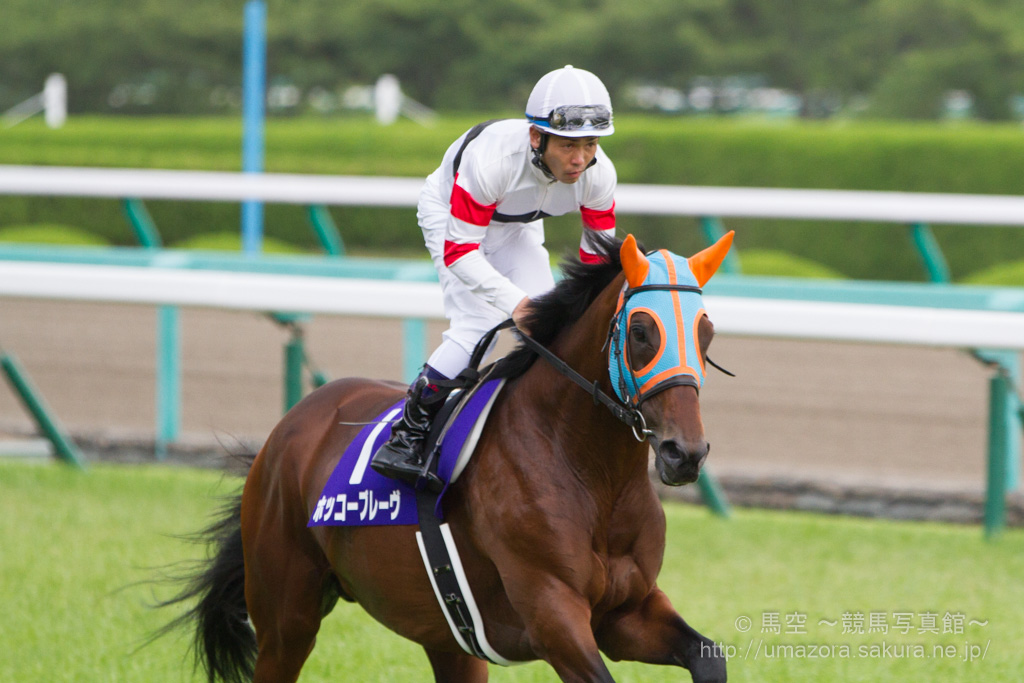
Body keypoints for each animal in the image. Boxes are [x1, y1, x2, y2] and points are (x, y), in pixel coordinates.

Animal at [162, 231, 734, 683]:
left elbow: (708, 656)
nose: (685, 453)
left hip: (448, 634)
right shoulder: (552, 611)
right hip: (287, 616)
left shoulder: (627, 611)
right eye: (641, 332)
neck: (593, 476)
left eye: (707, 332)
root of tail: (291, 425)